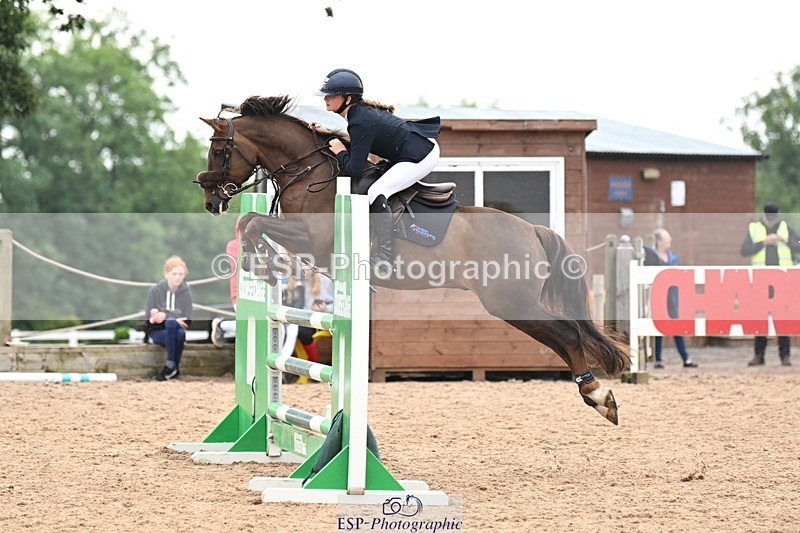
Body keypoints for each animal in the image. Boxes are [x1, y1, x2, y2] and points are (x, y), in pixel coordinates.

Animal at [195, 95, 630, 425]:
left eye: (217, 150)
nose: (211, 201)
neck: (309, 172)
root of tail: (532, 230)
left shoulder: (312, 239)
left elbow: (253, 222)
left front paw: (263, 263)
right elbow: (250, 222)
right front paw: (264, 264)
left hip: (511, 302)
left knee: (569, 335)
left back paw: (596, 394)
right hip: (513, 303)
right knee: (564, 336)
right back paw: (595, 394)